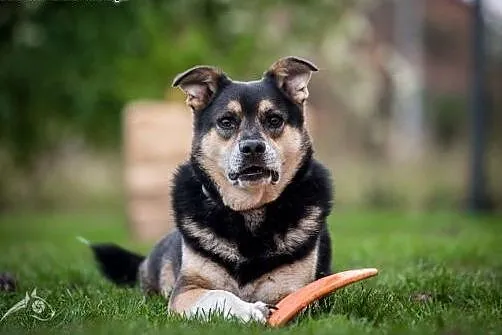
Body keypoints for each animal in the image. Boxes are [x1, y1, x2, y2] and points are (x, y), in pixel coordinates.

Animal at [90, 56, 334, 324]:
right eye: (226, 121)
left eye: (274, 120)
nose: (252, 148)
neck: (249, 211)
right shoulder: (187, 289)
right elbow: (218, 294)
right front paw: (250, 310)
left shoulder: (301, 291)